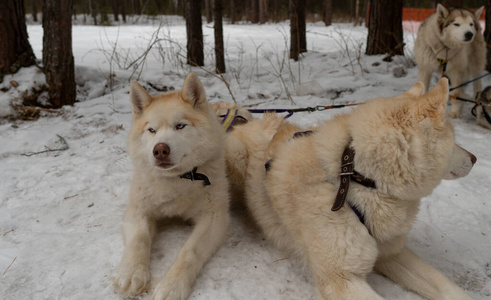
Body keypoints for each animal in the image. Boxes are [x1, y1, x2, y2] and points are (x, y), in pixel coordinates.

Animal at [114, 73, 232, 300]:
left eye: (180, 126)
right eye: (151, 130)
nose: (160, 150)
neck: (176, 180)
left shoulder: (214, 218)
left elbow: (189, 252)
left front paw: (172, 285)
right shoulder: (137, 211)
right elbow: (139, 239)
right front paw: (132, 273)